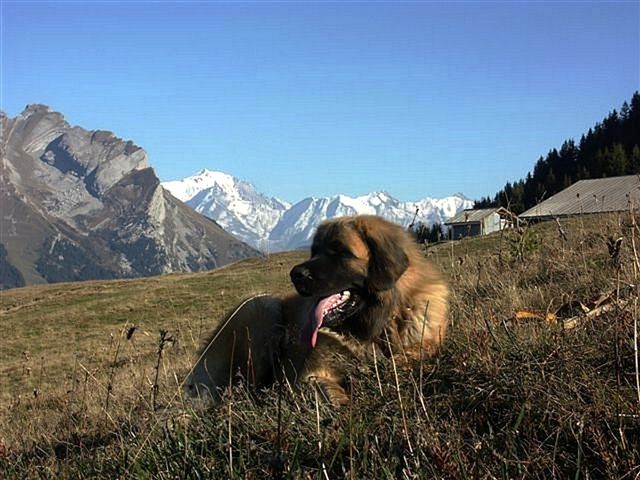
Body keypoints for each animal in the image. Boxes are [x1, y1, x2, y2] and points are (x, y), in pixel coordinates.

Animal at [185, 215, 448, 404]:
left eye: (340, 251)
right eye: (315, 251)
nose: (296, 274)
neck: (377, 326)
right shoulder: (310, 376)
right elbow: (331, 392)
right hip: (261, 305)